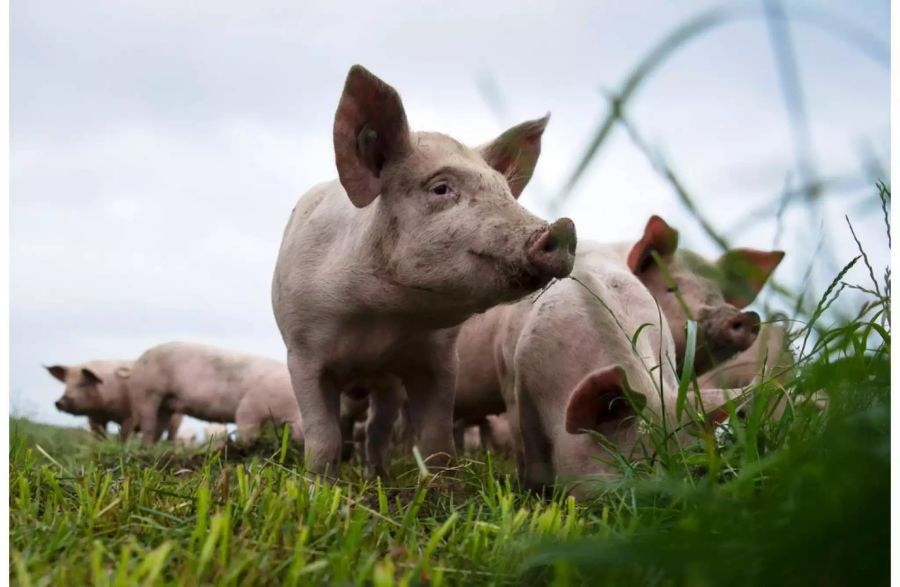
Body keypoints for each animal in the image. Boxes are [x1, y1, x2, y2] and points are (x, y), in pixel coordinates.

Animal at [44, 358, 182, 440]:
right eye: (66, 383)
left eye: (83, 384)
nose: (59, 403)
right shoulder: (94, 418)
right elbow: (99, 436)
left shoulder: (129, 416)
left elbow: (124, 436)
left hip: (176, 418)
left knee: (171, 436)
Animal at [128, 340, 302, 446]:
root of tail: (138, 361)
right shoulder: (249, 405)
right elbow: (246, 427)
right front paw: (247, 448)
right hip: (147, 391)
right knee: (148, 424)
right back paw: (146, 448)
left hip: (166, 404)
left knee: (159, 426)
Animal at [268, 65, 576, 478]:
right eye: (441, 188)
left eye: (505, 191)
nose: (563, 228)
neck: (378, 323)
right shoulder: (302, 351)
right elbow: (323, 437)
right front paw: (318, 485)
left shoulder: (438, 358)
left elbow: (438, 441)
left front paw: (444, 488)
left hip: (386, 388)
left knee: (378, 429)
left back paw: (378, 475)